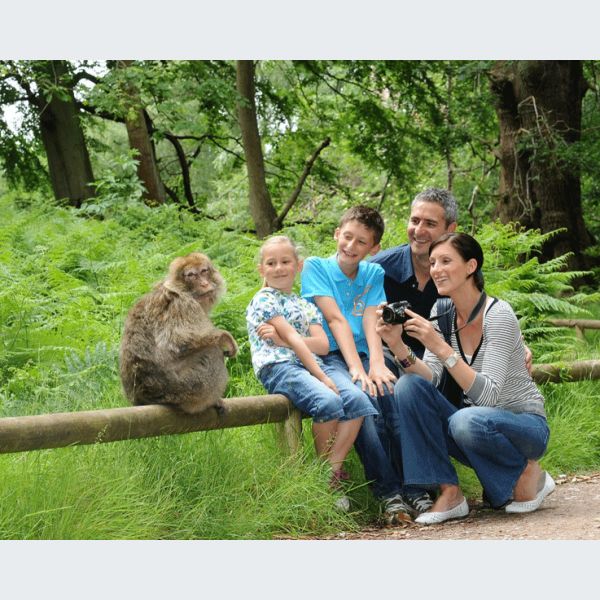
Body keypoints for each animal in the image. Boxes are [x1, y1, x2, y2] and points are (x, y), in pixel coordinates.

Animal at [118, 251, 238, 414]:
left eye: (204, 271)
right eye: (192, 275)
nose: (204, 284)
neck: (184, 290)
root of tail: (141, 398)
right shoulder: (183, 305)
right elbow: (177, 340)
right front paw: (225, 337)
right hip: (186, 387)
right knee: (213, 351)